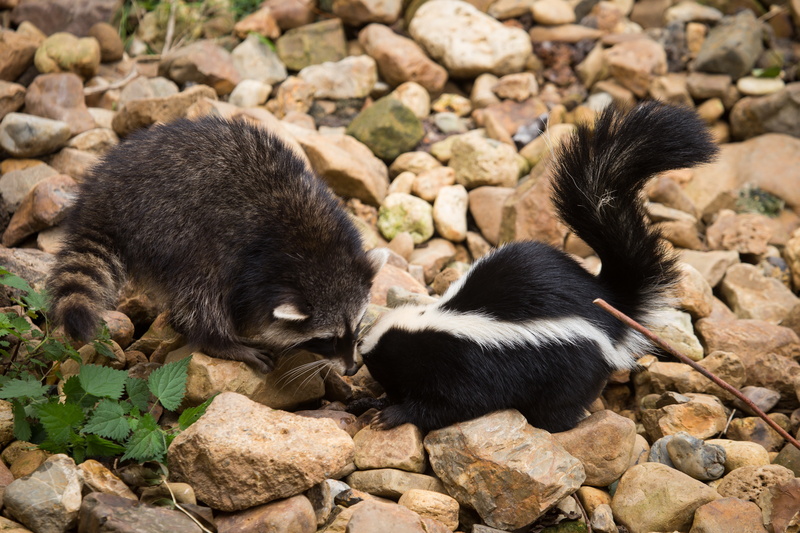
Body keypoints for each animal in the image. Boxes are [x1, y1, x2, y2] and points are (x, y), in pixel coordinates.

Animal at [47, 116, 387, 375]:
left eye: (357, 326)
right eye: (326, 339)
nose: (351, 369)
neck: (315, 248)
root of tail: (101, 196)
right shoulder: (254, 258)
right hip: (169, 226)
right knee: (201, 288)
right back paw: (220, 341)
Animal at [358, 102, 718, 432]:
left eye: (387, 366)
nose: (363, 370)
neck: (434, 324)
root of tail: (611, 302)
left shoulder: (467, 366)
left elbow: (454, 403)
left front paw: (393, 414)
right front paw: (378, 405)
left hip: (571, 367)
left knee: (557, 408)